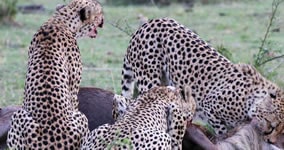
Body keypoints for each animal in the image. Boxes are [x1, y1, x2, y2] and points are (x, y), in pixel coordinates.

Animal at [120, 17, 284, 142]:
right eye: (271, 125)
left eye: (282, 130)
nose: (270, 140)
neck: (250, 101)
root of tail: (150, 22)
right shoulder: (209, 106)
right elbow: (221, 130)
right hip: (149, 80)